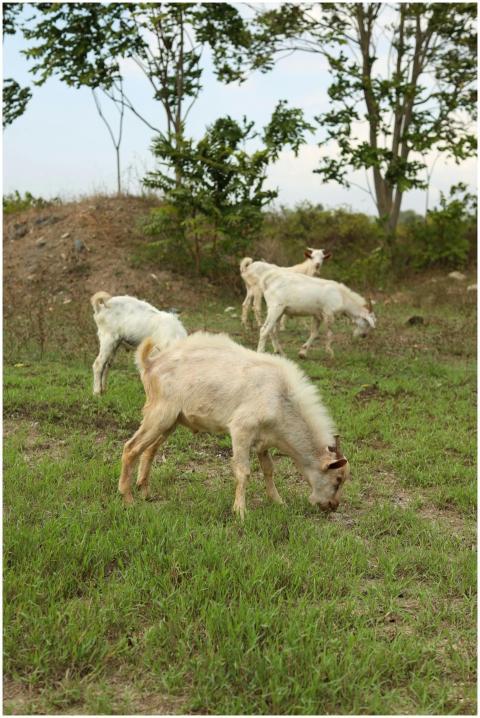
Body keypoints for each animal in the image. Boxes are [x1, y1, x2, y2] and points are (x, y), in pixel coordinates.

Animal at [119, 332, 349, 520]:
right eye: (337, 479)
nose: (333, 506)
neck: (281, 397)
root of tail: (151, 363)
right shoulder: (241, 429)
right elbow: (243, 471)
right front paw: (240, 511)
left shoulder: (263, 440)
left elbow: (269, 469)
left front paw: (278, 501)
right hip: (159, 414)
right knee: (131, 448)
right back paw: (128, 499)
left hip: (171, 421)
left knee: (149, 450)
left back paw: (145, 492)